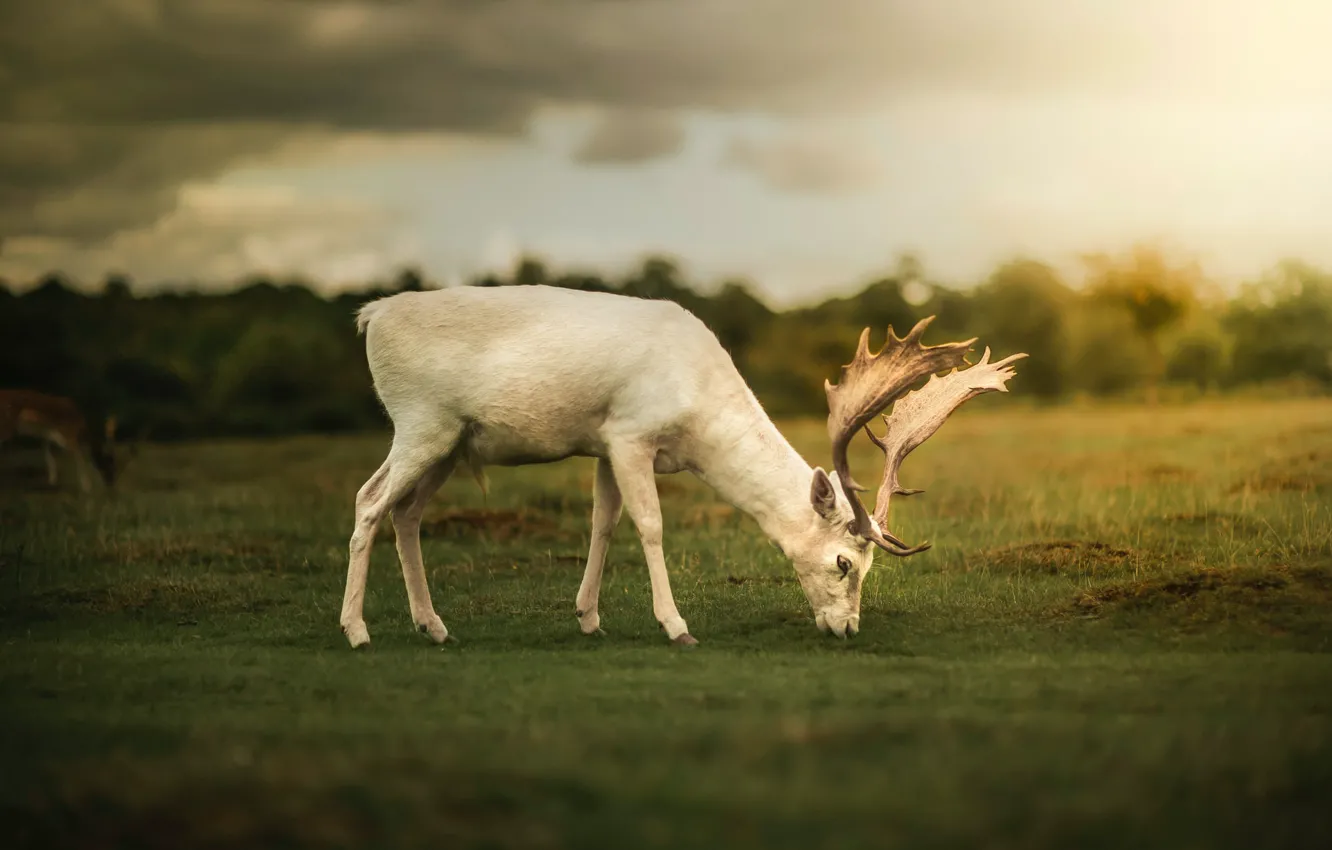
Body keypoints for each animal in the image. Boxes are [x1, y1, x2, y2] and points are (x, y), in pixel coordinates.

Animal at [338, 282, 1022, 650]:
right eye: (844, 563)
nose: (847, 629)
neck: (697, 420)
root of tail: (371, 317)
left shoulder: (605, 444)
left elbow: (602, 523)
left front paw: (588, 619)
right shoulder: (631, 434)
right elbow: (649, 525)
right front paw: (676, 626)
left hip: (451, 442)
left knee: (405, 513)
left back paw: (434, 627)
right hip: (420, 421)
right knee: (369, 501)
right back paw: (357, 631)